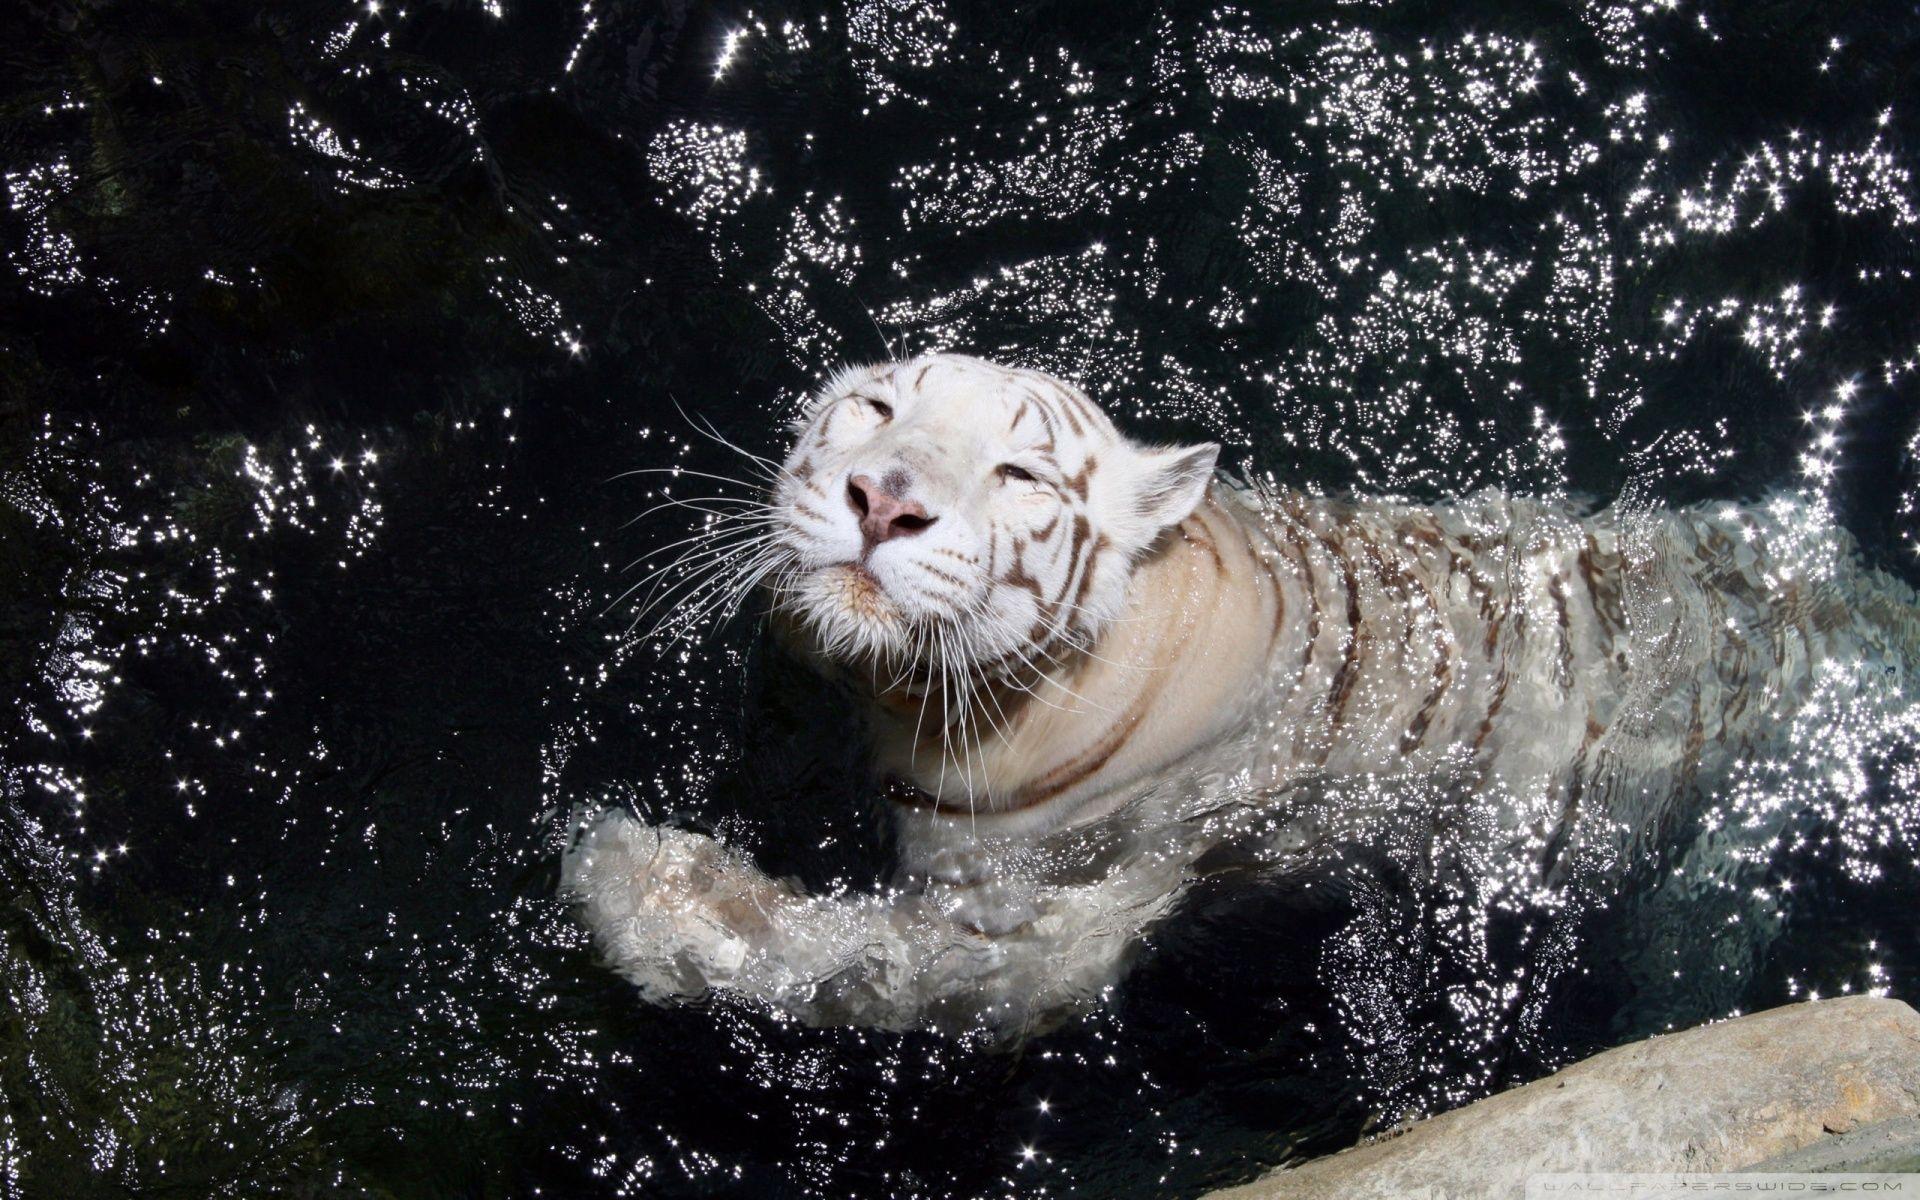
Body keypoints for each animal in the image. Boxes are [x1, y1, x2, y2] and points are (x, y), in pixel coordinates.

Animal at [561, 352, 1920, 1036]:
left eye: (1017, 473)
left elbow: (853, 960)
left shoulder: (1058, 923)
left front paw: (633, 887)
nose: (884, 499)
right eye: (878, 408)